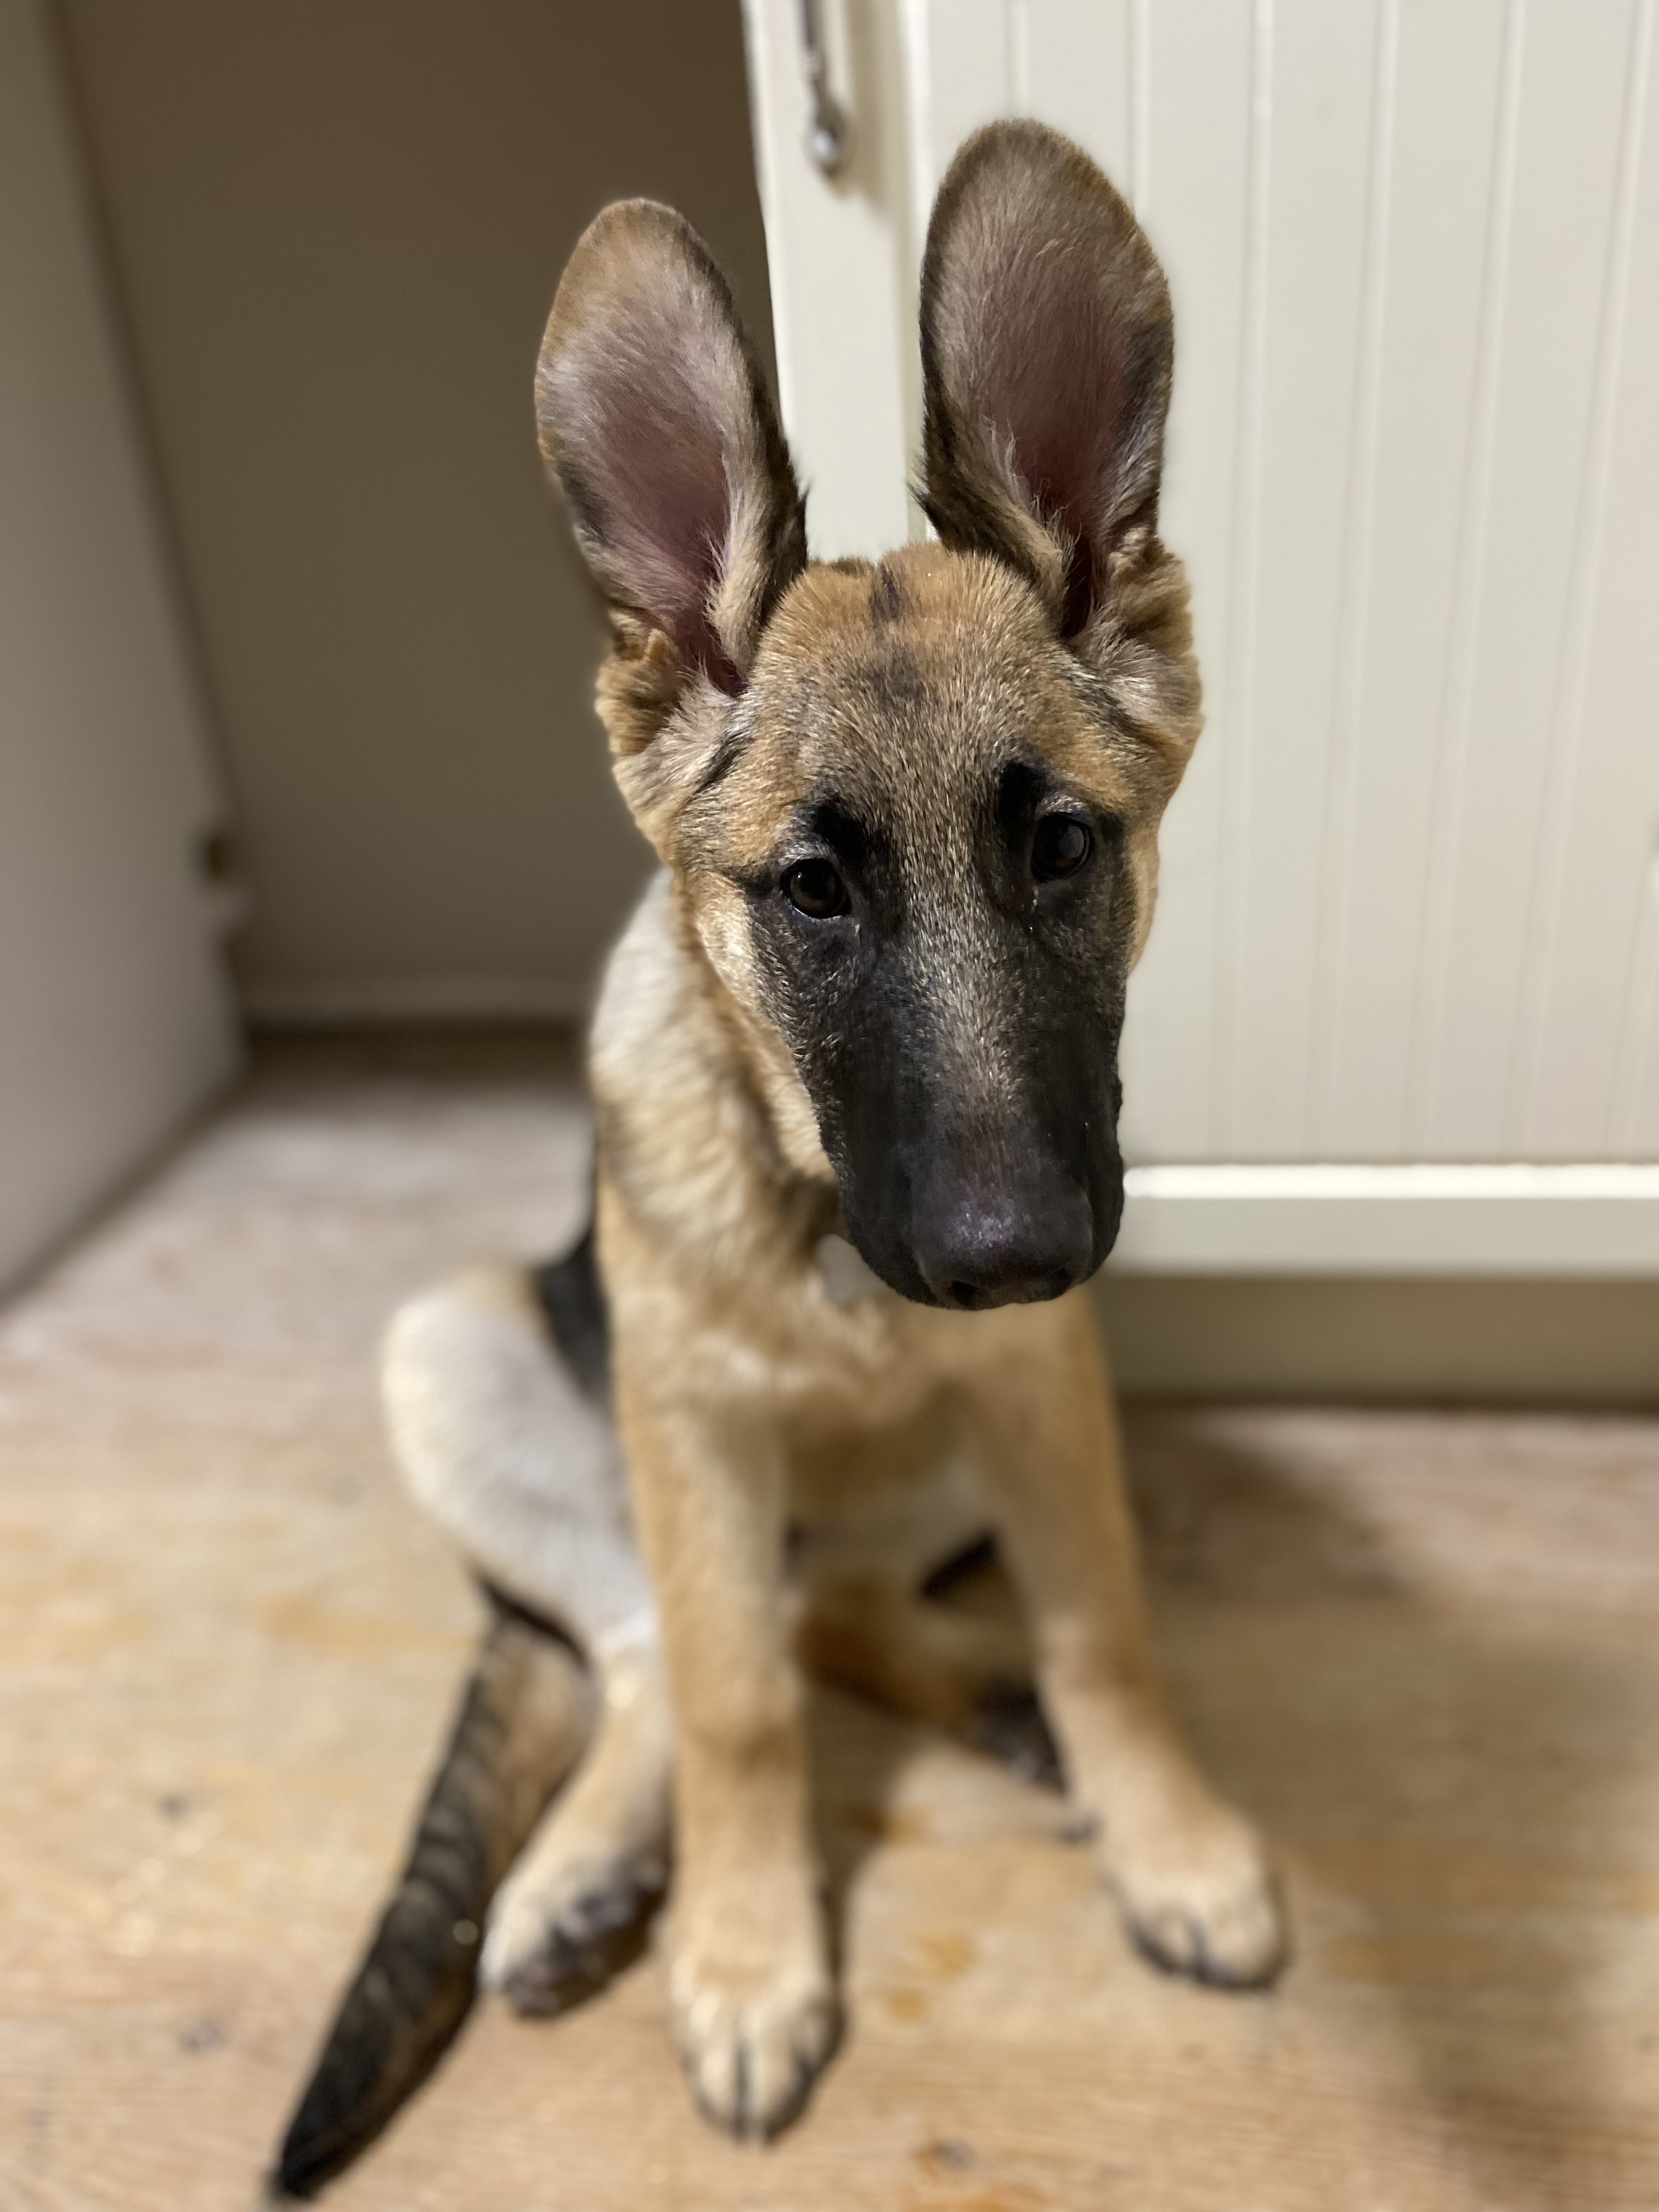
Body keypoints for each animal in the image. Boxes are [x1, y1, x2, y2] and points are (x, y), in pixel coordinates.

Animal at [272, 118, 1286, 2198]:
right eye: (812, 894)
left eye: (1061, 849)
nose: (1006, 1255)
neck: (821, 1230)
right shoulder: (694, 1424)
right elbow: (736, 1703)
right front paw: (747, 1951)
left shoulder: (1043, 1390)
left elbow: (1107, 1631)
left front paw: (1161, 1827)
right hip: (472, 1357)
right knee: (662, 1644)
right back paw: (587, 1873)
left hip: (971, 1442)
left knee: (836, 1602)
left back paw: (996, 1702)